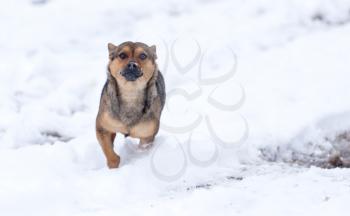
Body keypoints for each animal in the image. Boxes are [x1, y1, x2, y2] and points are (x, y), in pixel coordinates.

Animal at [95, 41, 166, 169]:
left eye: (143, 56)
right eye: (122, 55)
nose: (132, 65)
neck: (130, 94)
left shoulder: (147, 137)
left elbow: (143, 147)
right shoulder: (102, 127)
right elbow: (108, 150)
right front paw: (114, 165)